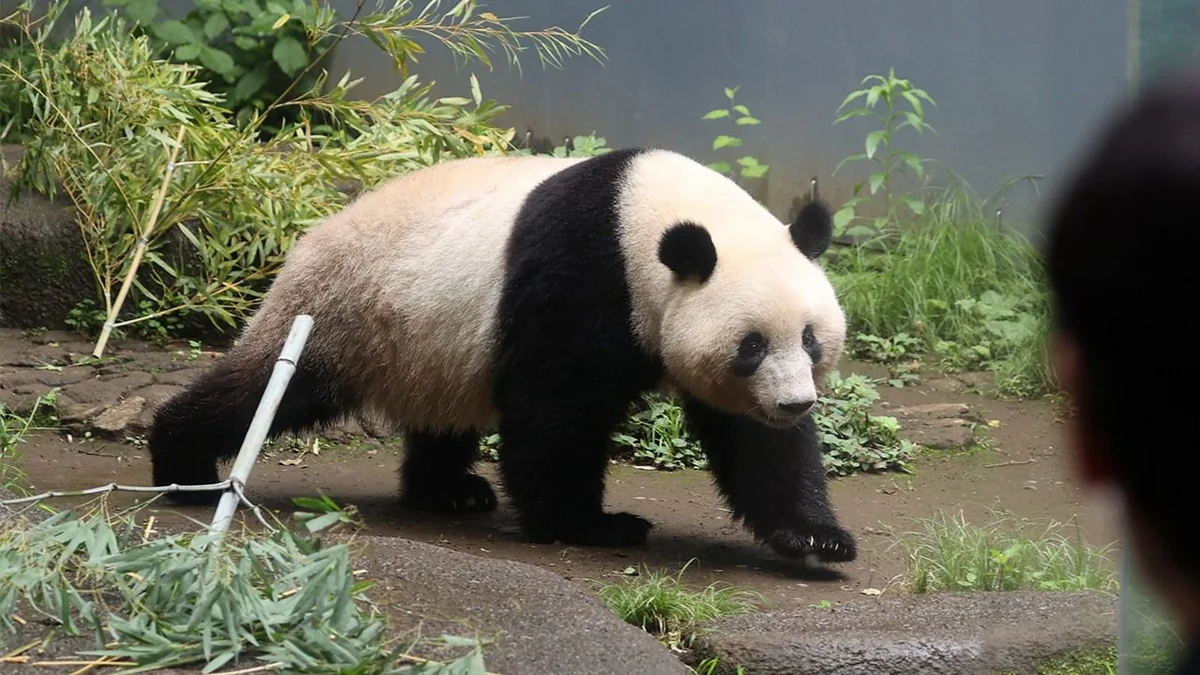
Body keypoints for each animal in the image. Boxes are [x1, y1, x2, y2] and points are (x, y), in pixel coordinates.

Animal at [148, 147, 857, 563]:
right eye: (750, 346)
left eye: (810, 339)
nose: (796, 402)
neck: (647, 212)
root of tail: (309, 236)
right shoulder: (588, 272)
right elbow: (555, 411)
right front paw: (591, 524)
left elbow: (753, 442)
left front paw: (816, 535)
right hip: (344, 312)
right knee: (271, 389)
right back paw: (180, 463)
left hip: (424, 340)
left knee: (440, 417)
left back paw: (449, 492)